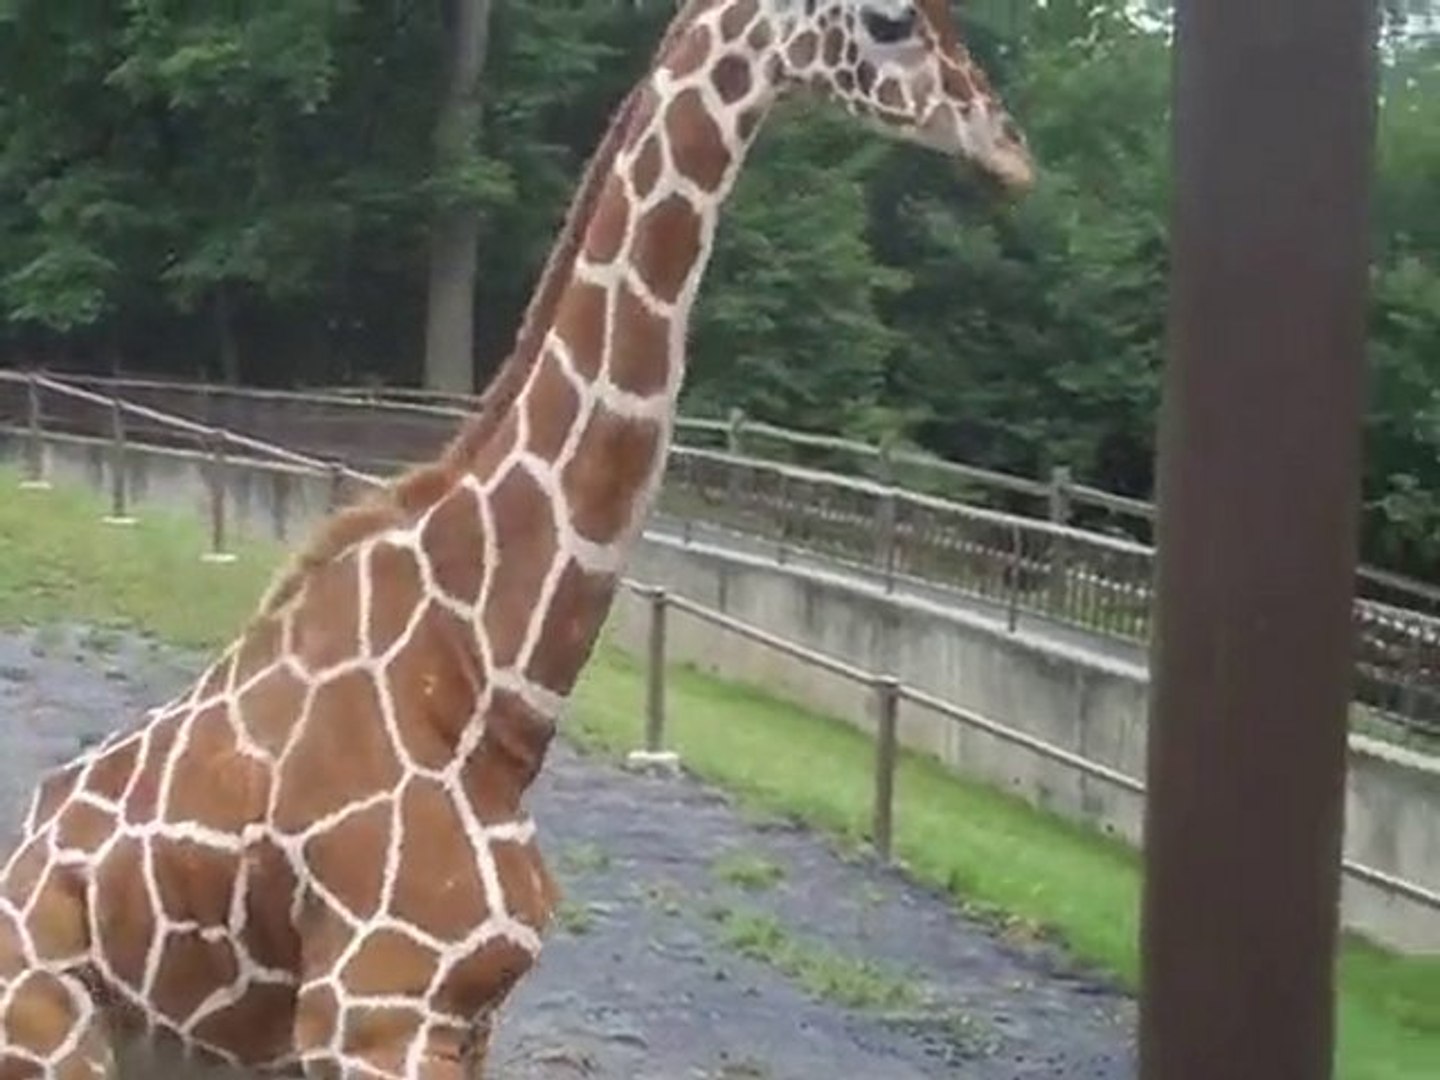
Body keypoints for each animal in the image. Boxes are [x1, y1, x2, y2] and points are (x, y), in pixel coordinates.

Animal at [0, 2, 1031, 1076]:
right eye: (890, 21)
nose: (1009, 151)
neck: (486, 688)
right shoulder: (373, 1010)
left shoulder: (461, 1014)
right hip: (52, 1032)